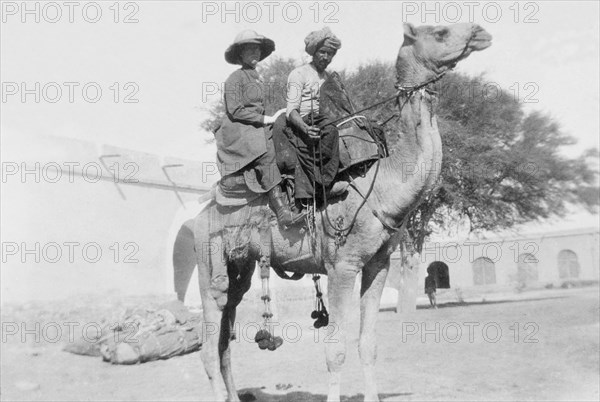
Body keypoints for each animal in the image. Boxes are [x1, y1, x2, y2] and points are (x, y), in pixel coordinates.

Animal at [180, 22, 490, 402]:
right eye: (441, 31)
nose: (480, 32)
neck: (382, 185)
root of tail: (201, 214)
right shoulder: (341, 265)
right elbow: (336, 350)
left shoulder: (378, 263)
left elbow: (368, 344)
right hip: (209, 254)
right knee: (211, 333)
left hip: (242, 262)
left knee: (227, 332)